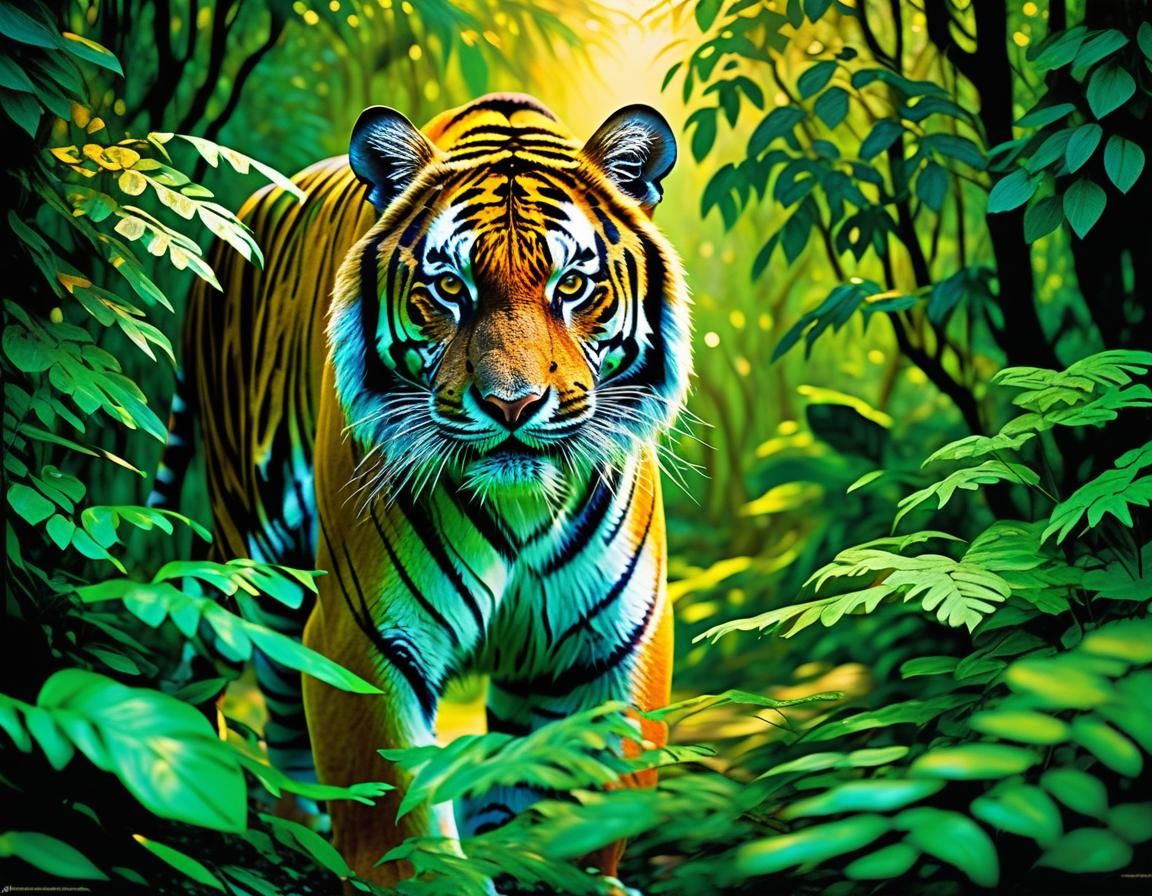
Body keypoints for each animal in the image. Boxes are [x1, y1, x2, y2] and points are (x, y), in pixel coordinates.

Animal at [154, 92, 690, 887]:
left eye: (571, 286)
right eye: (448, 288)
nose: (511, 405)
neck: (523, 510)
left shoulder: (613, 648)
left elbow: (574, 828)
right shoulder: (364, 639)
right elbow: (405, 844)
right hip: (253, 560)